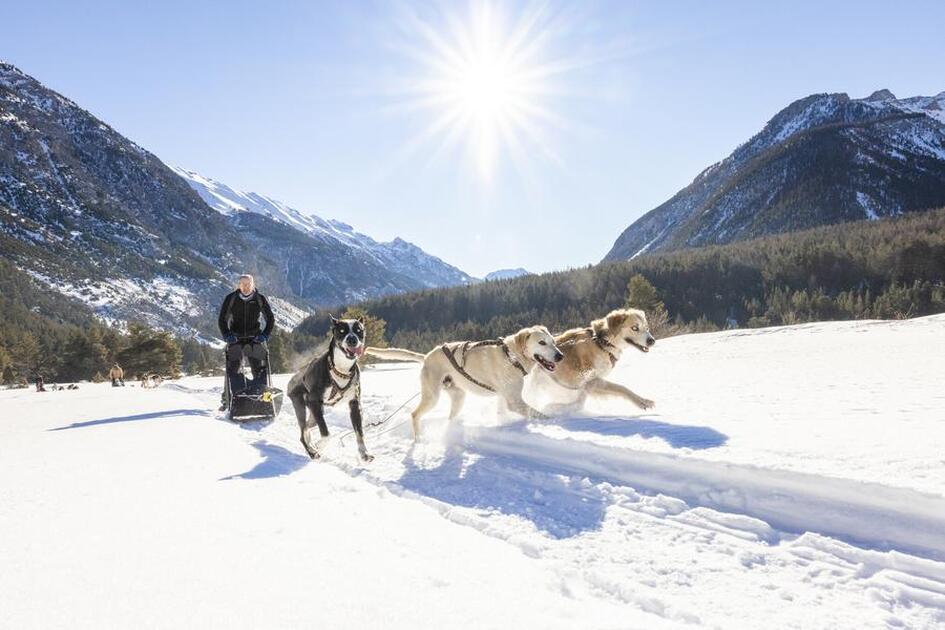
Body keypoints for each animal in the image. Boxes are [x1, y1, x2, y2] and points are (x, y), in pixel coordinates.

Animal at [288, 318, 372, 462]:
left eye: (358, 330)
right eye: (342, 331)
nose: (352, 339)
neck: (341, 370)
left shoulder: (354, 405)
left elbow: (360, 433)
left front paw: (364, 453)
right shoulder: (314, 401)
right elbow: (326, 434)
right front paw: (319, 445)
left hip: (315, 413)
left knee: (307, 428)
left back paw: (311, 444)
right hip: (303, 407)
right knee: (303, 432)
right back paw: (312, 451)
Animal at [366, 328, 564, 442]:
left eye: (553, 342)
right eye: (542, 342)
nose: (560, 356)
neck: (511, 356)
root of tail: (427, 356)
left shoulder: (505, 398)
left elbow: (501, 414)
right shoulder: (515, 401)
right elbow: (539, 414)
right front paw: (558, 420)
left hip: (459, 398)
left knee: (449, 417)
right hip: (432, 397)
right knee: (414, 414)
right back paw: (419, 439)